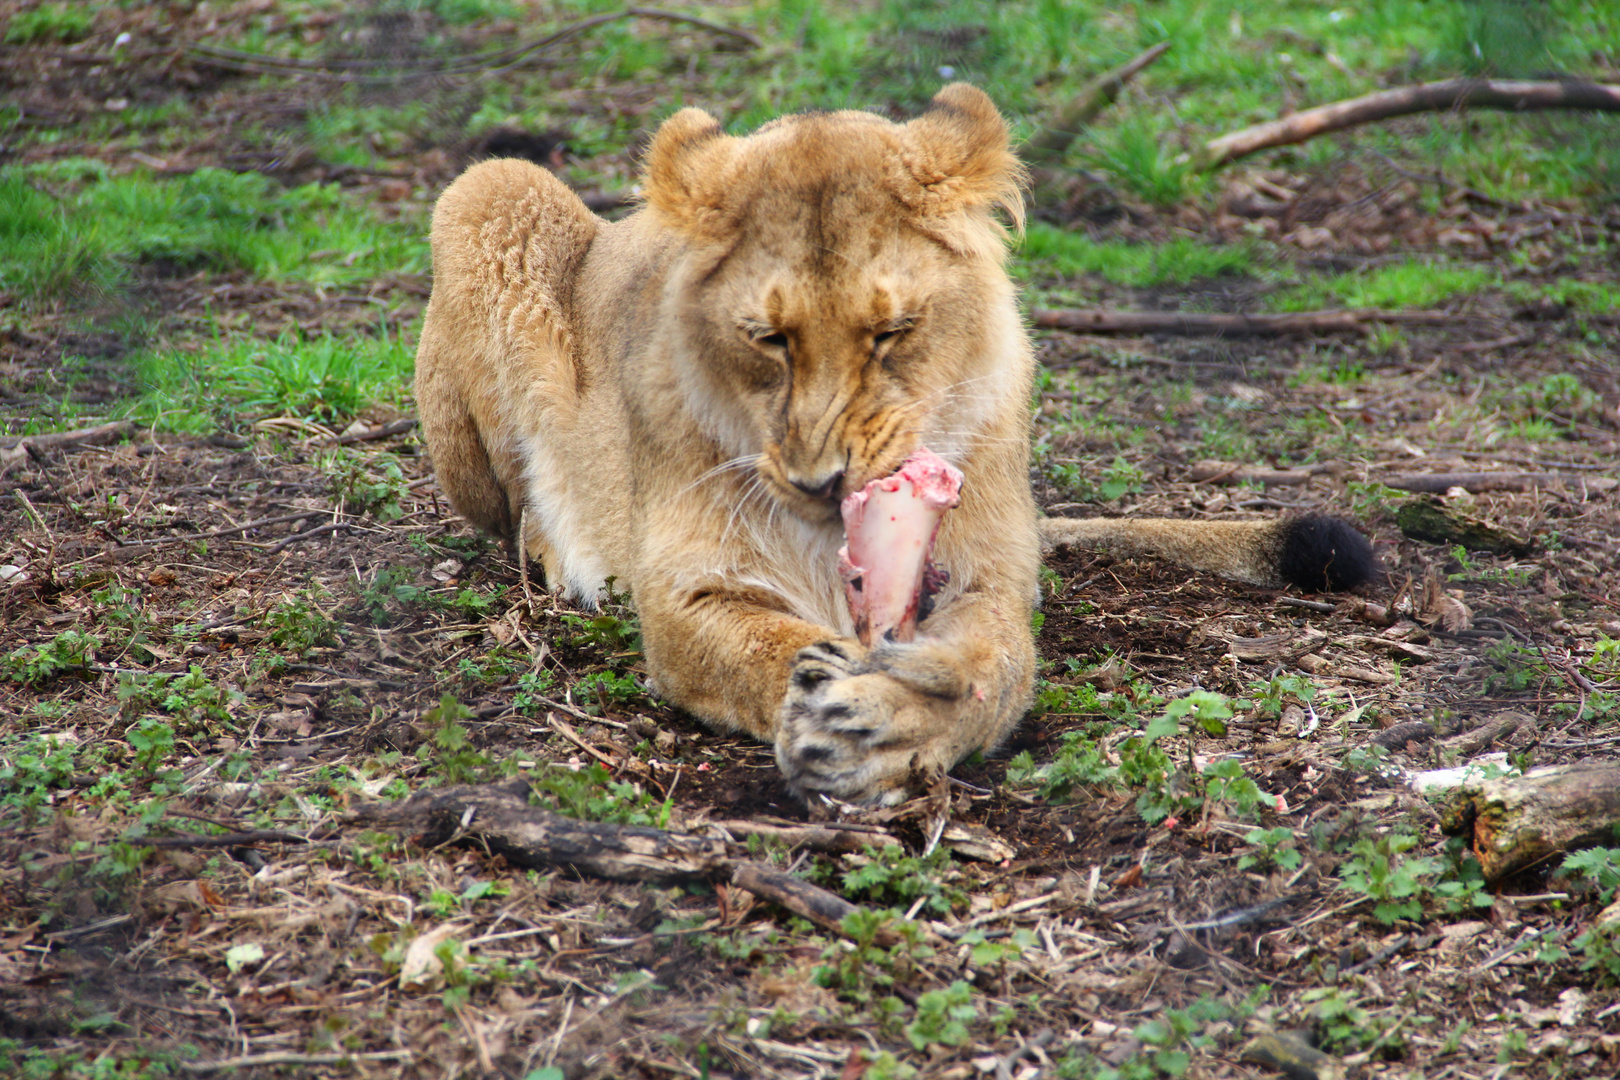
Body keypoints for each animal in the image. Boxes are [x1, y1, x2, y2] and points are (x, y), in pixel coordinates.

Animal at [411, 84, 1373, 806]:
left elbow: (1000, 663)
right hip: (487, 189)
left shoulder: (992, 575)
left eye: (891, 333)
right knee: (514, 518)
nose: (820, 481)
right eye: (769, 339)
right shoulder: (684, 593)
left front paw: (903, 715)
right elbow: (774, 648)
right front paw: (844, 700)